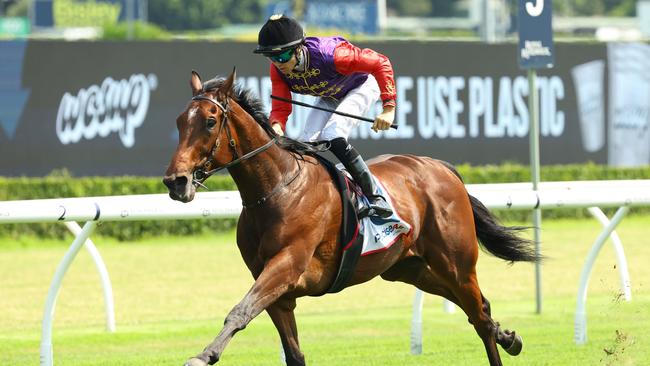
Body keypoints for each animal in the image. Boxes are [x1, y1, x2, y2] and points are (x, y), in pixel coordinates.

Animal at [162, 69, 536, 366]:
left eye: (210, 121)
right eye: (179, 122)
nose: (175, 181)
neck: (277, 190)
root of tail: (441, 167)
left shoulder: (286, 266)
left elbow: (240, 311)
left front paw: (203, 355)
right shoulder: (277, 292)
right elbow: (293, 353)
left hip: (456, 263)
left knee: (479, 316)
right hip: (408, 268)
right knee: (479, 308)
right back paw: (510, 337)